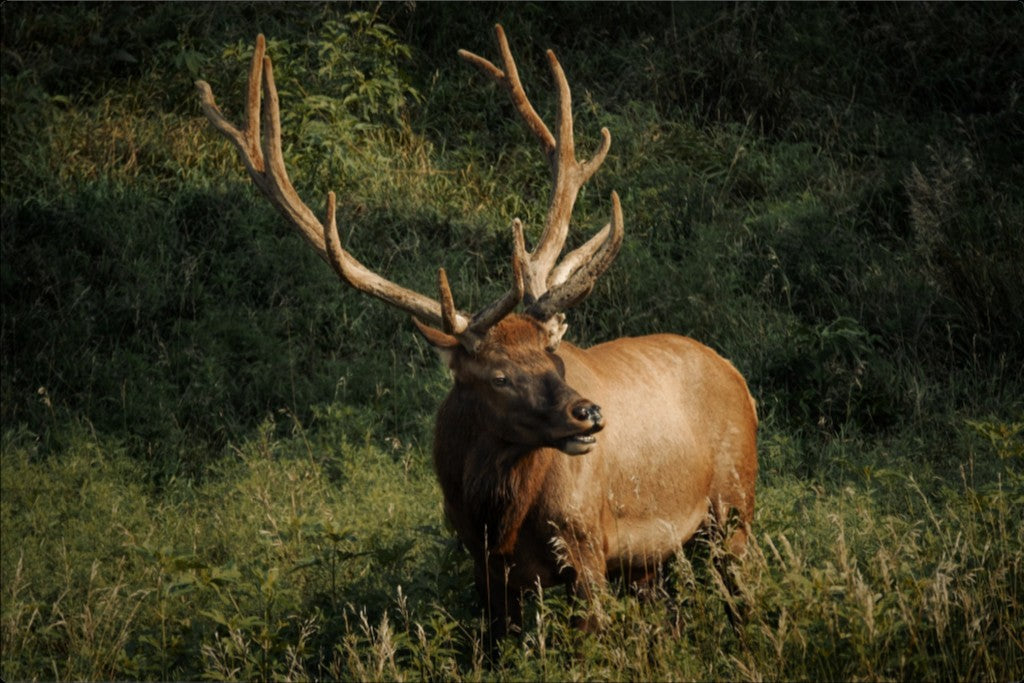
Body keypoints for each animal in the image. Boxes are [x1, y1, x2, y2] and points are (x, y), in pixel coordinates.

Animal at [195, 25, 757, 634]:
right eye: (498, 376)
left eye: (556, 359)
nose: (588, 412)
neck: (499, 517)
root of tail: (739, 378)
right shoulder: (481, 564)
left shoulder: (585, 543)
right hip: (653, 557)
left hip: (735, 505)